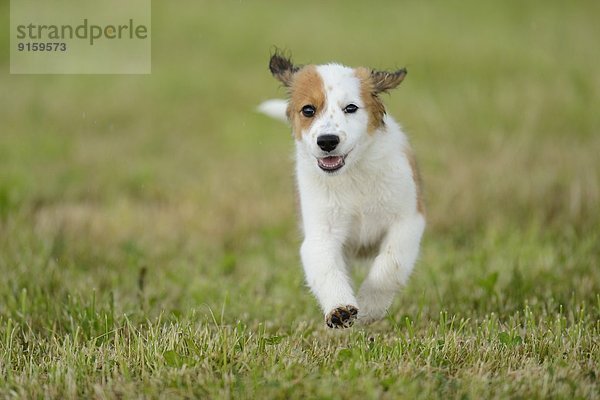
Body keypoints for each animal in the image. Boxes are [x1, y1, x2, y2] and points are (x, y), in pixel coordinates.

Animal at [260, 51, 424, 328]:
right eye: (308, 110)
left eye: (351, 108)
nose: (327, 141)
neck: (353, 175)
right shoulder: (320, 235)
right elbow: (327, 271)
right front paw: (340, 309)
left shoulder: (407, 221)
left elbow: (389, 266)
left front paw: (370, 307)